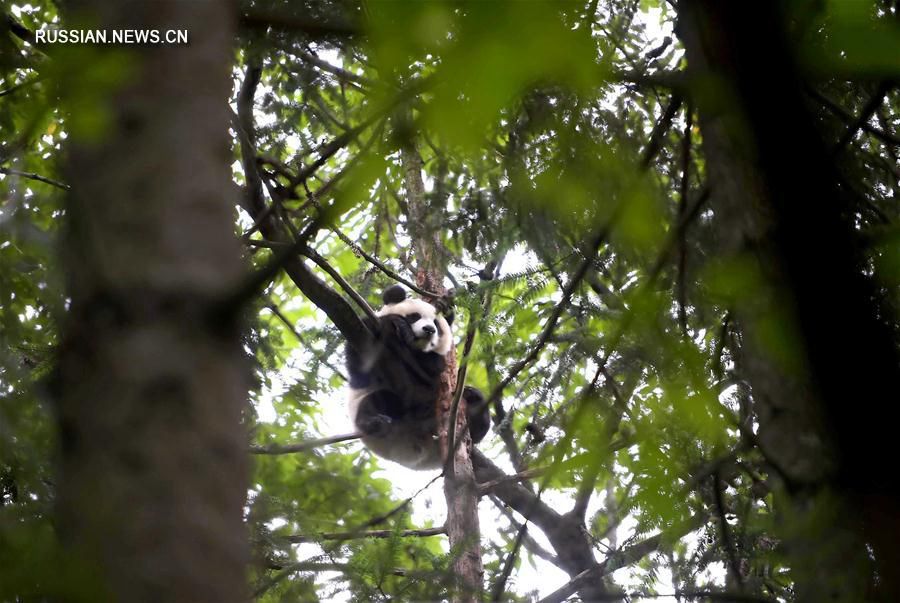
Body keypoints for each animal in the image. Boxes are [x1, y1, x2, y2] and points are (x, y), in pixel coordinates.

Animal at [346, 286, 492, 470]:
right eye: (415, 316)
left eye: (437, 324)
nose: (429, 329)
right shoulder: (364, 335)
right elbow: (360, 367)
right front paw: (397, 324)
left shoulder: (433, 363)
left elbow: (432, 367)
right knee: (378, 399)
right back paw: (374, 422)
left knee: (476, 414)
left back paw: (474, 402)